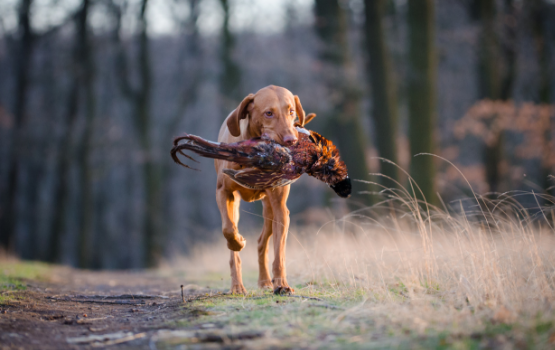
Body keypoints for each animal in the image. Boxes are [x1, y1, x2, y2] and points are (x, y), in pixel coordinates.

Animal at [215, 86, 308, 294]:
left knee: (261, 242)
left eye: (291, 111)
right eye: (268, 113)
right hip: (236, 204)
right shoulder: (223, 192)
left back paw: (265, 281)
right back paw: (237, 286)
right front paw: (238, 242)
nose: (291, 140)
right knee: (234, 242)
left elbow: (279, 253)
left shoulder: (281, 209)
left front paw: (281, 284)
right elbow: (228, 229)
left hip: (268, 209)